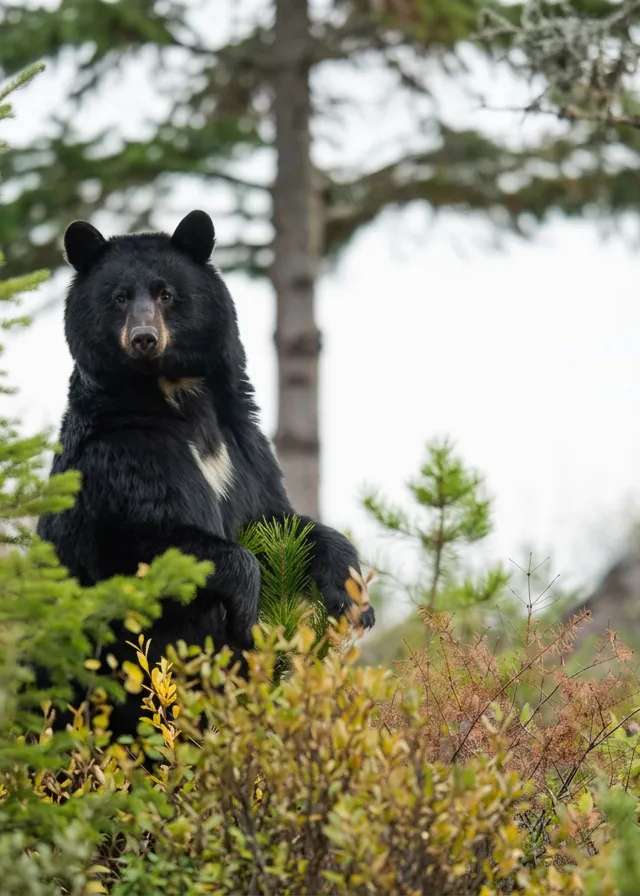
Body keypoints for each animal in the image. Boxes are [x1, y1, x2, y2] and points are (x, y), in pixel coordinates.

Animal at [38, 210, 374, 732]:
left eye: (166, 293)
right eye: (119, 297)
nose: (144, 338)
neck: (177, 395)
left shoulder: (244, 447)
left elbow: (277, 518)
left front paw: (352, 597)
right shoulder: (122, 455)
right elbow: (152, 538)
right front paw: (246, 606)